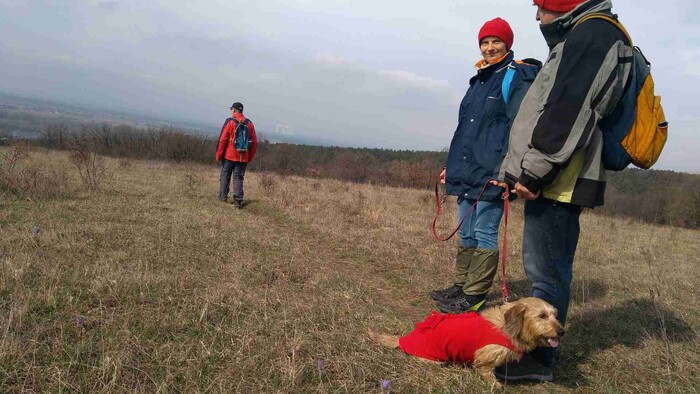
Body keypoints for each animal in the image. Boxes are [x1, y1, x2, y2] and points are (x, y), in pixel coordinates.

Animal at [370, 298, 568, 386]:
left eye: (555, 315)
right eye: (542, 316)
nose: (562, 331)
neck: (505, 326)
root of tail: (403, 339)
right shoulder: (486, 354)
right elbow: (486, 369)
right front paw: (495, 384)